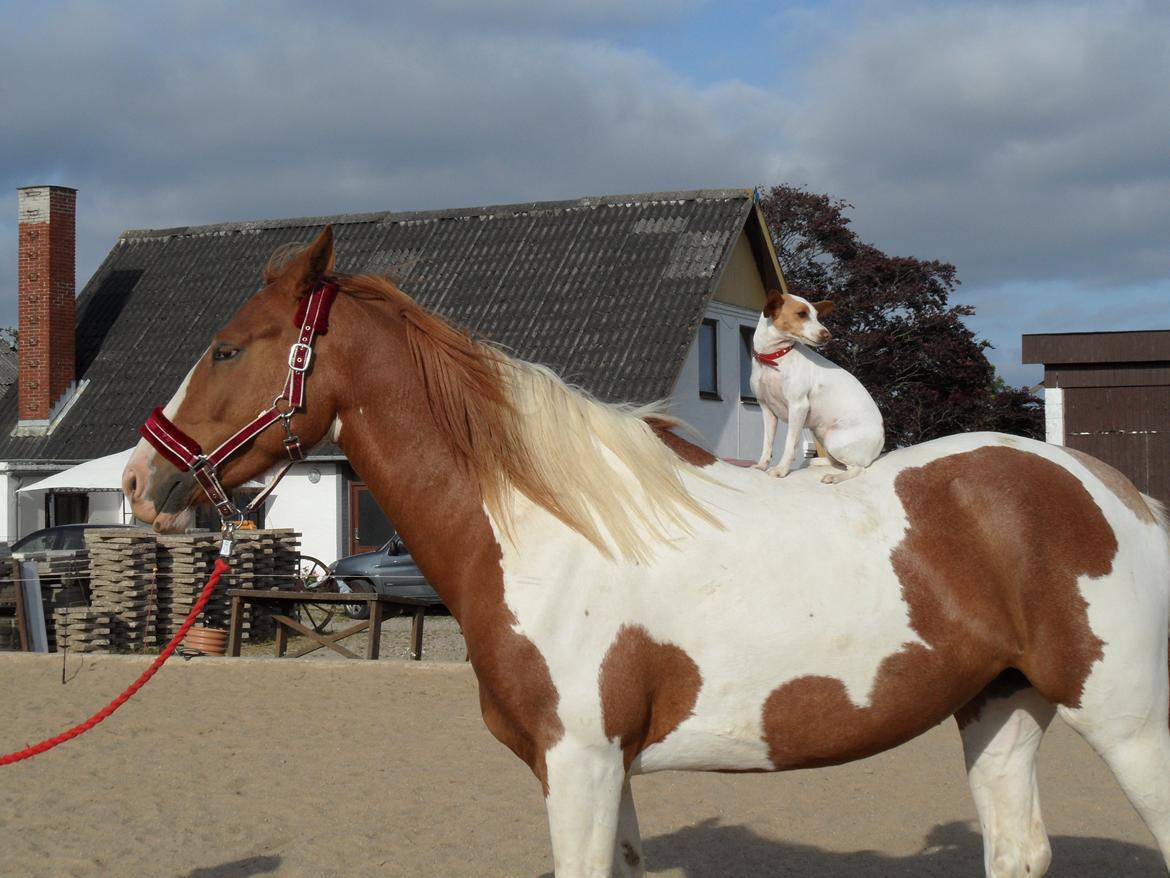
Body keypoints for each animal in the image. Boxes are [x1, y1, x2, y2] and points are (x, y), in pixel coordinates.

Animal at [753, 290, 879, 484]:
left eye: (817, 316)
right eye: (801, 314)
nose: (827, 335)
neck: (775, 357)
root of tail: (881, 442)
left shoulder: (798, 406)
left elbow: (790, 443)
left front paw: (781, 470)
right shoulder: (767, 409)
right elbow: (767, 443)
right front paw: (761, 466)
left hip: (835, 440)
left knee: (858, 468)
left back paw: (834, 477)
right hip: (822, 434)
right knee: (837, 462)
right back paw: (817, 463)